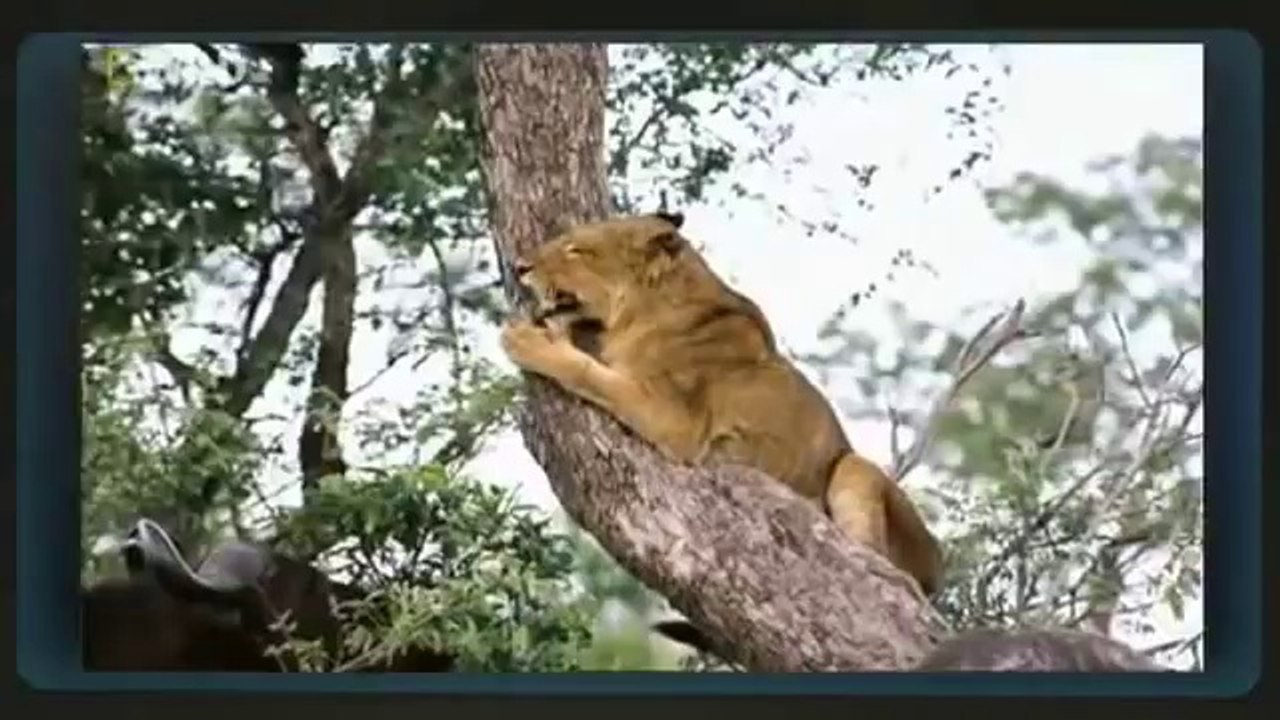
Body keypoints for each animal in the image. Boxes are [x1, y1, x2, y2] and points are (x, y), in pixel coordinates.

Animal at [500, 212, 943, 598]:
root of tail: (938, 573)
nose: (519, 267)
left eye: (576, 249)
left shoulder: (678, 420)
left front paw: (528, 340)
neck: (646, 309)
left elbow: (590, 374)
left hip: (854, 468)